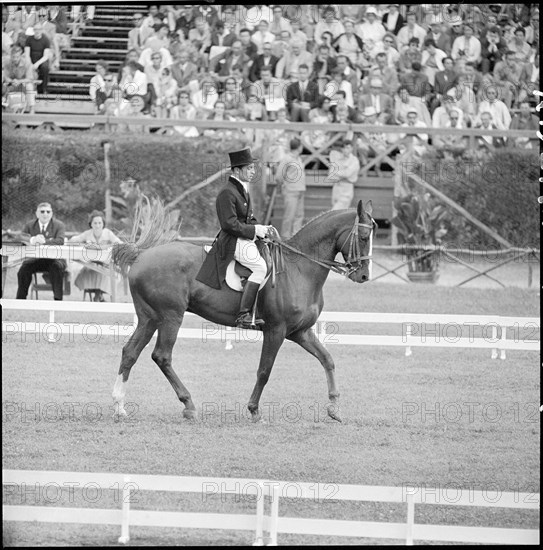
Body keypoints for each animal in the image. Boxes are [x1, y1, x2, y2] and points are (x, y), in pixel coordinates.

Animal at [110, 198, 374, 422]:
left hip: (149, 318)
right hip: (170, 316)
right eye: (363, 237)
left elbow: (327, 359)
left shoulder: (300, 332)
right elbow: (264, 371)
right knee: (162, 356)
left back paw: (120, 406)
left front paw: (334, 407)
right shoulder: (276, 330)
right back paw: (189, 405)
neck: (299, 269)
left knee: (130, 352)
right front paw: (254, 410)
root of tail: (141, 255)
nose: (363, 276)